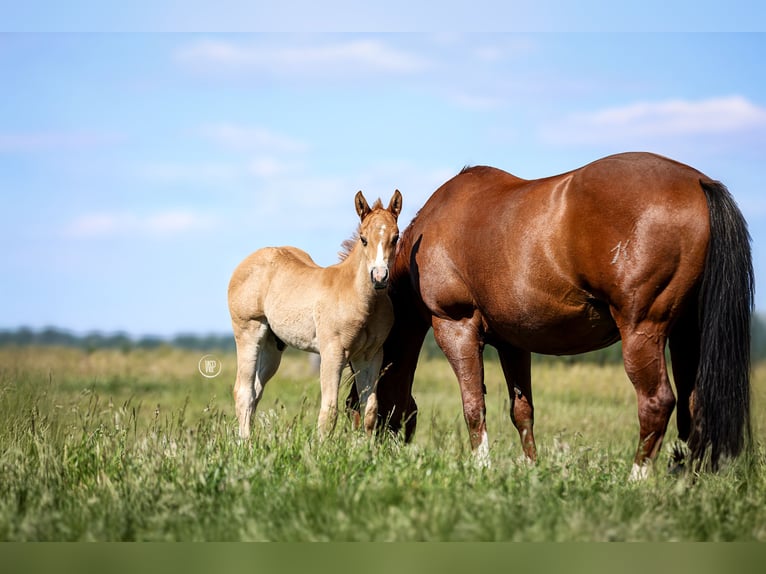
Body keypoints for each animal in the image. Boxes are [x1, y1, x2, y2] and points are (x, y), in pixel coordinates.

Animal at [228, 189, 402, 439]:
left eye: (395, 237)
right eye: (363, 238)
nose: (379, 277)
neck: (359, 298)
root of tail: (245, 263)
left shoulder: (370, 356)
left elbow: (369, 410)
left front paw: (367, 447)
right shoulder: (332, 353)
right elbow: (329, 411)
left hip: (273, 346)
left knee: (255, 391)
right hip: (249, 333)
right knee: (243, 392)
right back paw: (246, 443)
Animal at [367, 152, 752, 477]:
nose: (373, 451)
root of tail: (699, 183)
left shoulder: (455, 326)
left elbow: (473, 406)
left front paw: (481, 468)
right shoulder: (513, 343)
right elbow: (522, 411)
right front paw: (531, 470)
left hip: (643, 331)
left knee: (658, 403)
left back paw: (636, 481)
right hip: (687, 333)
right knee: (693, 405)